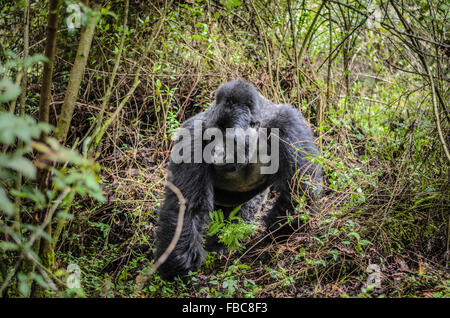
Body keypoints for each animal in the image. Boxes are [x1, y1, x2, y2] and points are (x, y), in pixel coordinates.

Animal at [156, 79, 322, 280]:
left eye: (228, 140)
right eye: (212, 138)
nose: (216, 154)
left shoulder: (288, 123)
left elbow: (299, 187)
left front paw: (279, 232)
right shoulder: (191, 137)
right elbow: (186, 207)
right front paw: (179, 266)